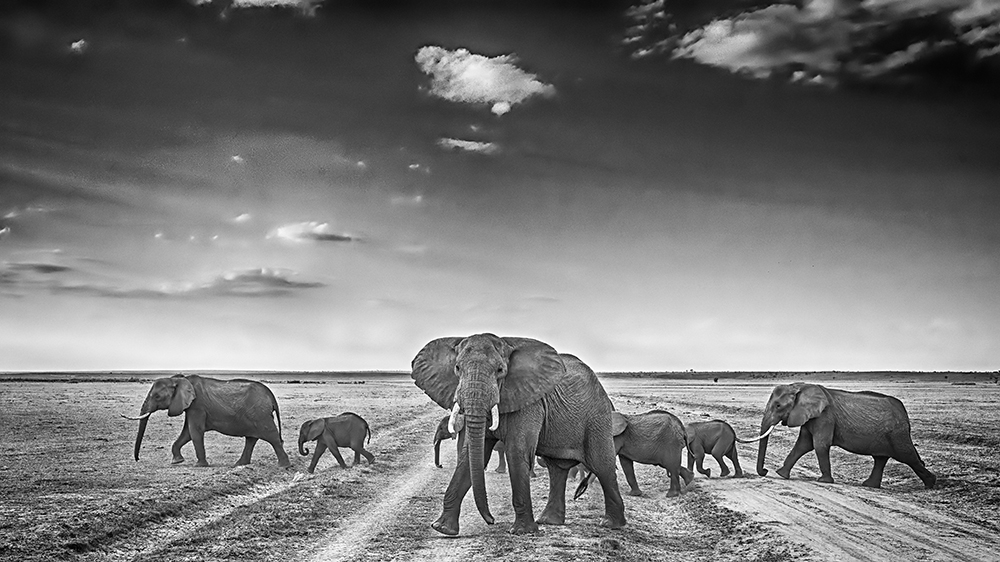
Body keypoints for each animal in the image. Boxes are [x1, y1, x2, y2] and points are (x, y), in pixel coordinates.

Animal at [126, 374, 290, 467]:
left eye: (157, 396)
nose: (137, 459)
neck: (179, 379)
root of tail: (271, 395)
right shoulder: (191, 407)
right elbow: (187, 433)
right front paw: (177, 461)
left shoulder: (197, 406)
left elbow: (194, 431)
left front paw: (200, 465)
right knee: (251, 438)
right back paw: (239, 464)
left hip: (260, 414)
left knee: (272, 437)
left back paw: (284, 466)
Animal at [411, 333, 626, 536]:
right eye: (457, 368)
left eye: (500, 370)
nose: (491, 520)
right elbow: (469, 457)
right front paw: (442, 528)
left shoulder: (529, 401)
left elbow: (516, 452)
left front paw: (523, 532)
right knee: (557, 469)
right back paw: (549, 521)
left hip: (597, 418)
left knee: (602, 467)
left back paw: (612, 524)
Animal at [755, 383, 936, 489]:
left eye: (778, 406)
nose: (764, 471)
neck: (800, 386)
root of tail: (904, 413)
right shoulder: (810, 416)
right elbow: (803, 444)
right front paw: (781, 474)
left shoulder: (825, 416)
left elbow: (819, 445)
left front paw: (824, 481)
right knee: (881, 458)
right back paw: (869, 485)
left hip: (897, 433)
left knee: (907, 456)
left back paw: (931, 484)